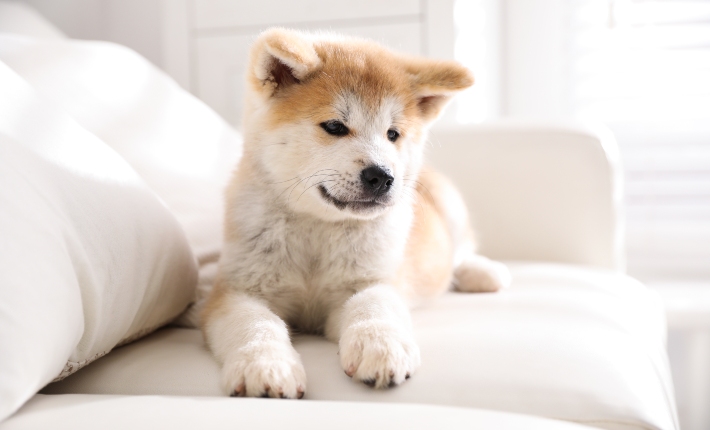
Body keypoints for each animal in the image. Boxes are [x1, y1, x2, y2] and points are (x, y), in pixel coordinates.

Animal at [202, 27, 512, 400]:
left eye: (393, 134)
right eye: (335, 127)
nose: (382, 176)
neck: (318, 227)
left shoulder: (373, 280)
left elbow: (374, 307)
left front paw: (381, 347)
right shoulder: (238, 290)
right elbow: (254, 324)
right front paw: (264, 365)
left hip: (448, 202)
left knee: (461, 249)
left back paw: (483, 272)